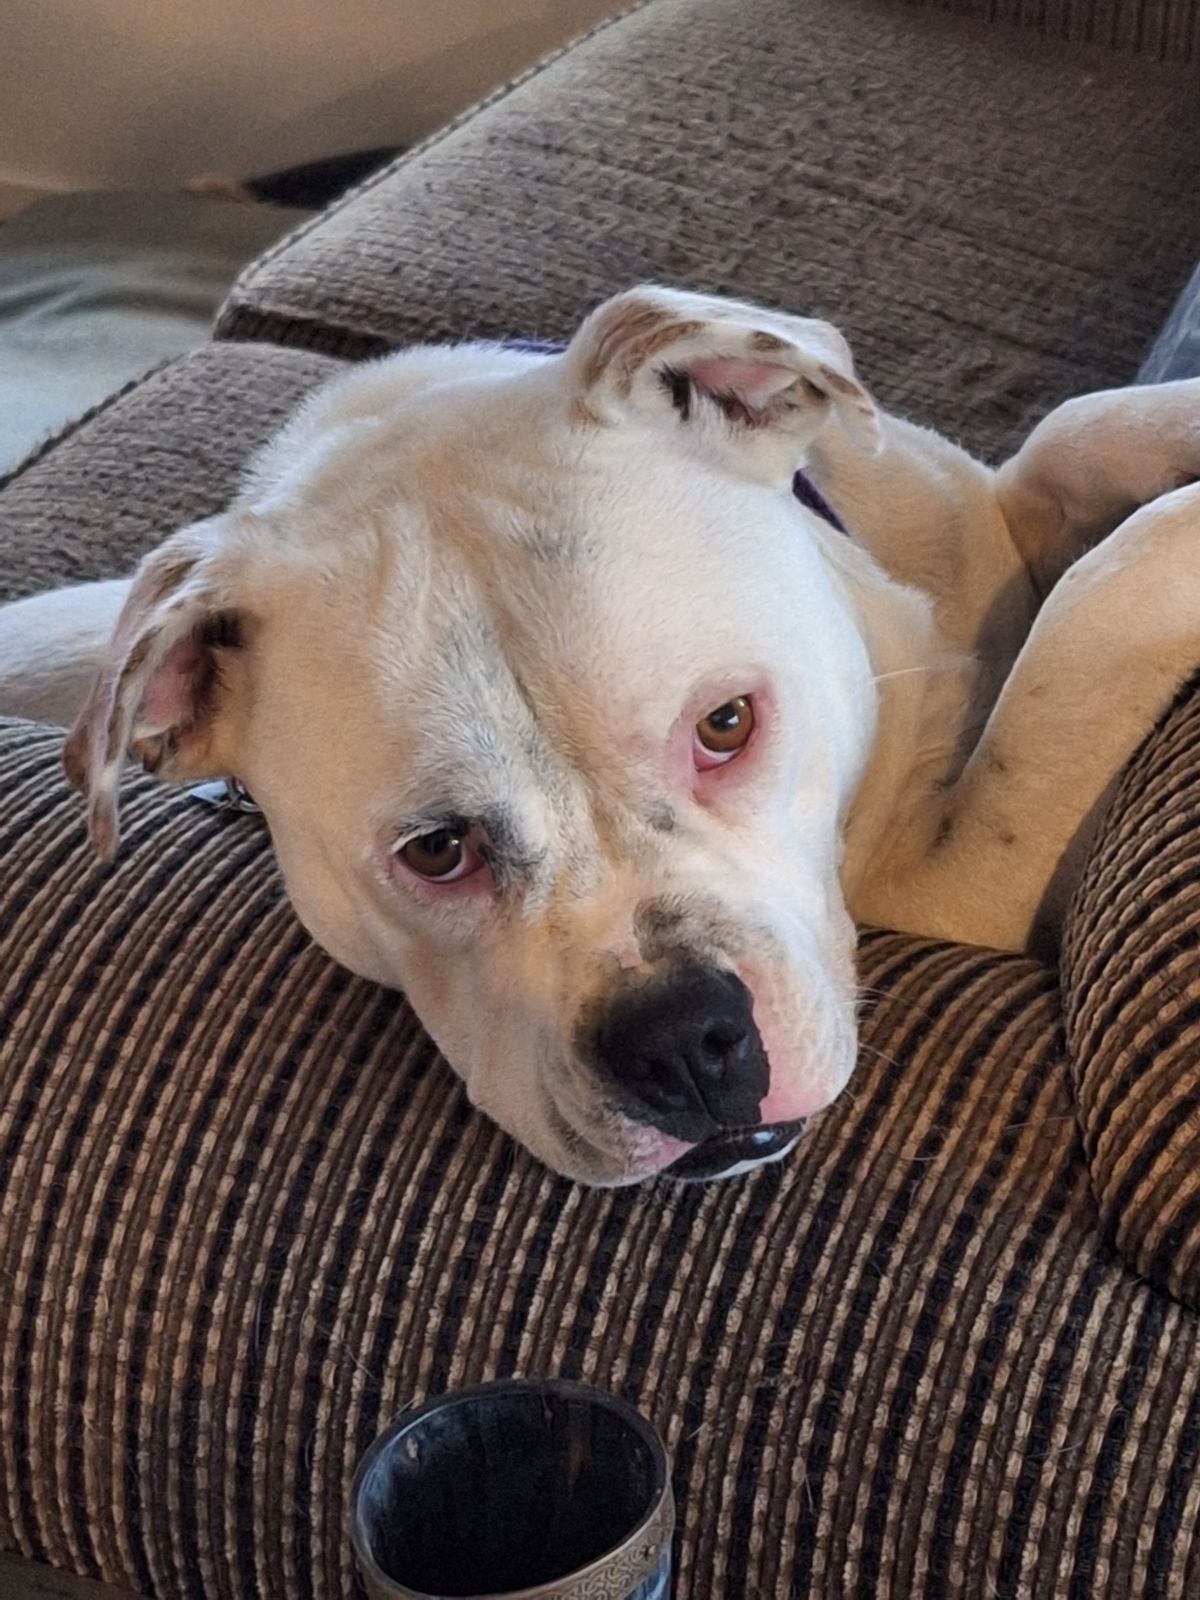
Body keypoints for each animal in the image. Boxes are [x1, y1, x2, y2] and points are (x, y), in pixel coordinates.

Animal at [2, 286, 1198, 1186]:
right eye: (436, 851)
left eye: (726, 724)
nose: (679, 1042)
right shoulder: (951, 879)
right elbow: (1094, 611)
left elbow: (1078, 432)